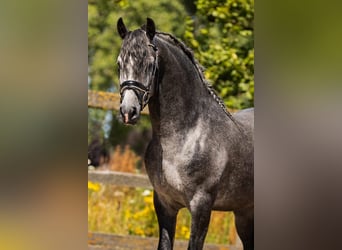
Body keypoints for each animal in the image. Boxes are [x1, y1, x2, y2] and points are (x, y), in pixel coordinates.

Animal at [116, 18, 252, 250]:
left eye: (150, 63)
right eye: (119, 64)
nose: (128, 111)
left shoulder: (201, 206)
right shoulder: (164, 204)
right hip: (244, 213)